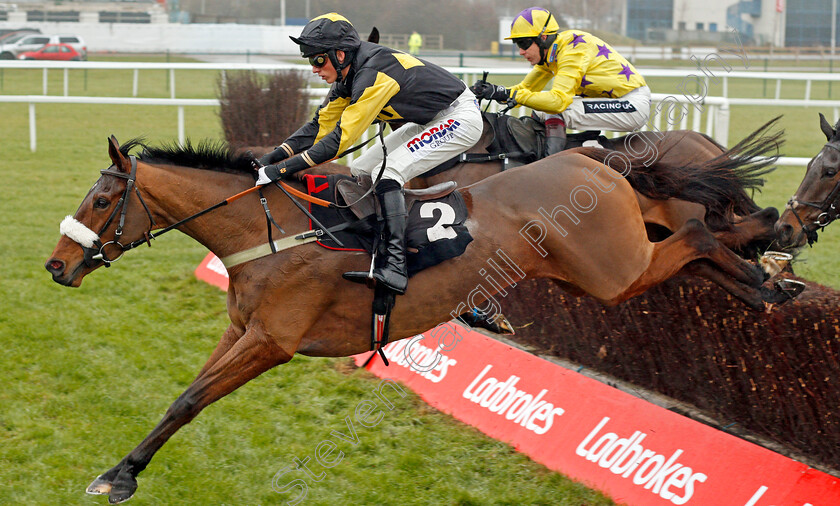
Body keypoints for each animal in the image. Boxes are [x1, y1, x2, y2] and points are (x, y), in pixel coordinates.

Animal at [46, 133, 784, 502]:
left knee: (696, 234)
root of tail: (592, 157)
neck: (272, 234)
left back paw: (765, 264)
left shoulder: (272, 341)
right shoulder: (240, 330)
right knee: (694, 243)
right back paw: (765, 278)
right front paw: (122, 469)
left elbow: (193, 400)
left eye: (103, 198)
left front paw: (120, 477)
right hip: (608, 260)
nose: (56, 266)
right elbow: (182, 399)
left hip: (613, 271)